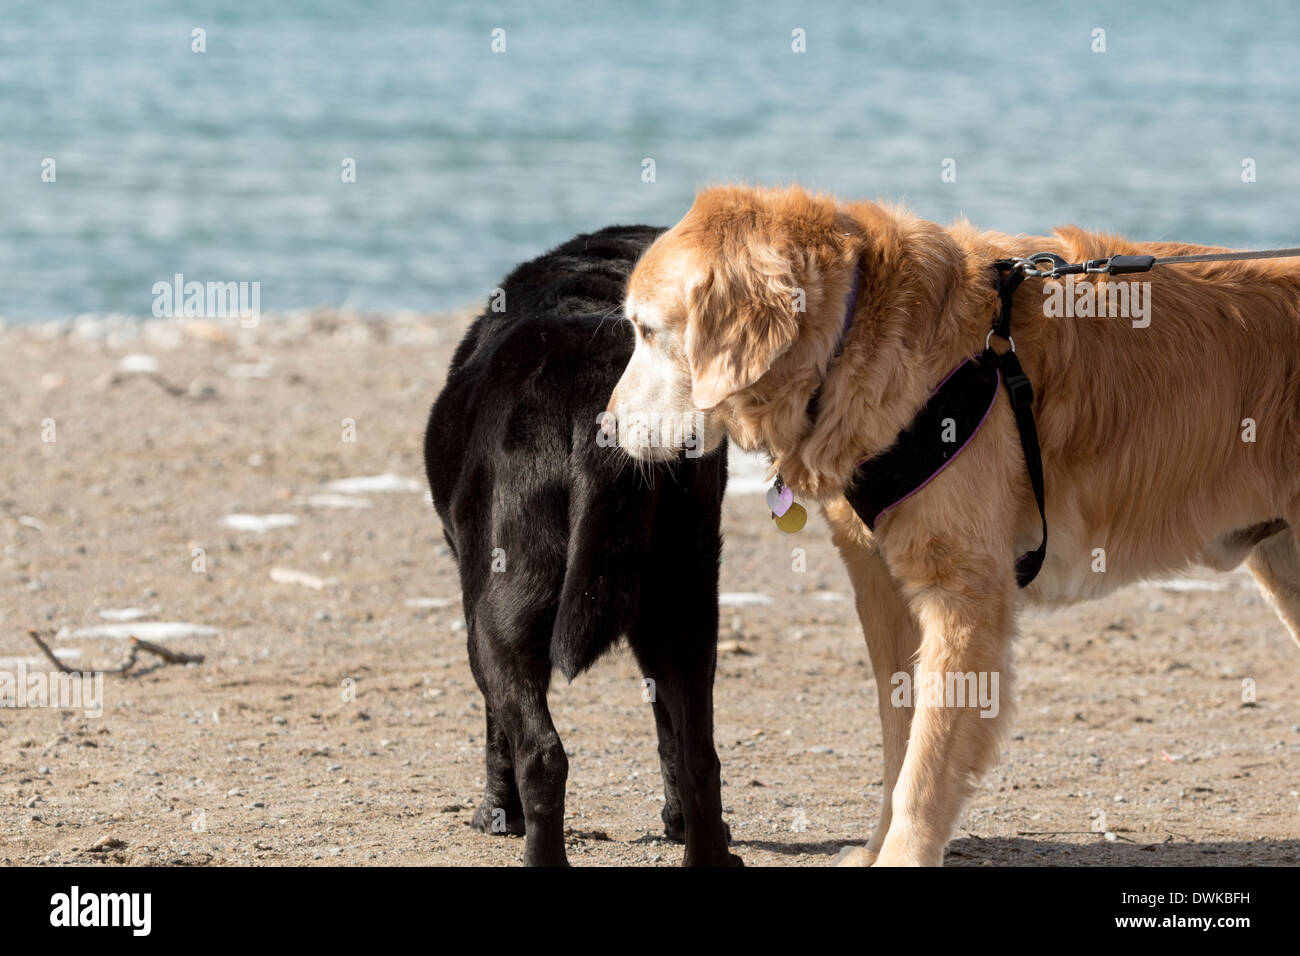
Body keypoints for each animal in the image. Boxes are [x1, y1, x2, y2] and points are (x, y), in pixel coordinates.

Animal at [423, 223, 738, 868]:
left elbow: (496, 732)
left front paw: (497, 816)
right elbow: (670, 737)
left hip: (501, 618)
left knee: (542, 754)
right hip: (685, 603)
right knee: (699, 753)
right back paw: (709, 855)